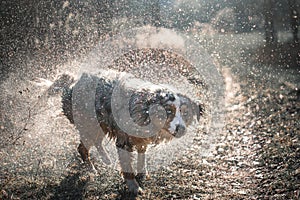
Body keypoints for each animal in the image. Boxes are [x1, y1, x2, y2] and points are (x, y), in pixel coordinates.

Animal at [60, 70, 203, 194]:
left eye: (185, 113)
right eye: (168, 111)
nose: (181, 129)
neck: (145, 110)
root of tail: (74, 84)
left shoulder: (142, 139)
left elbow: (141, 157)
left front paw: (142, 173)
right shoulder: (124, 141)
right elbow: (127, 167)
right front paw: (134, 186)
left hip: (101, 125)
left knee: (96, 142)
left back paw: (106, 158)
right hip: (90, 126)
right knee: (82, 148)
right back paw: (92, 169)